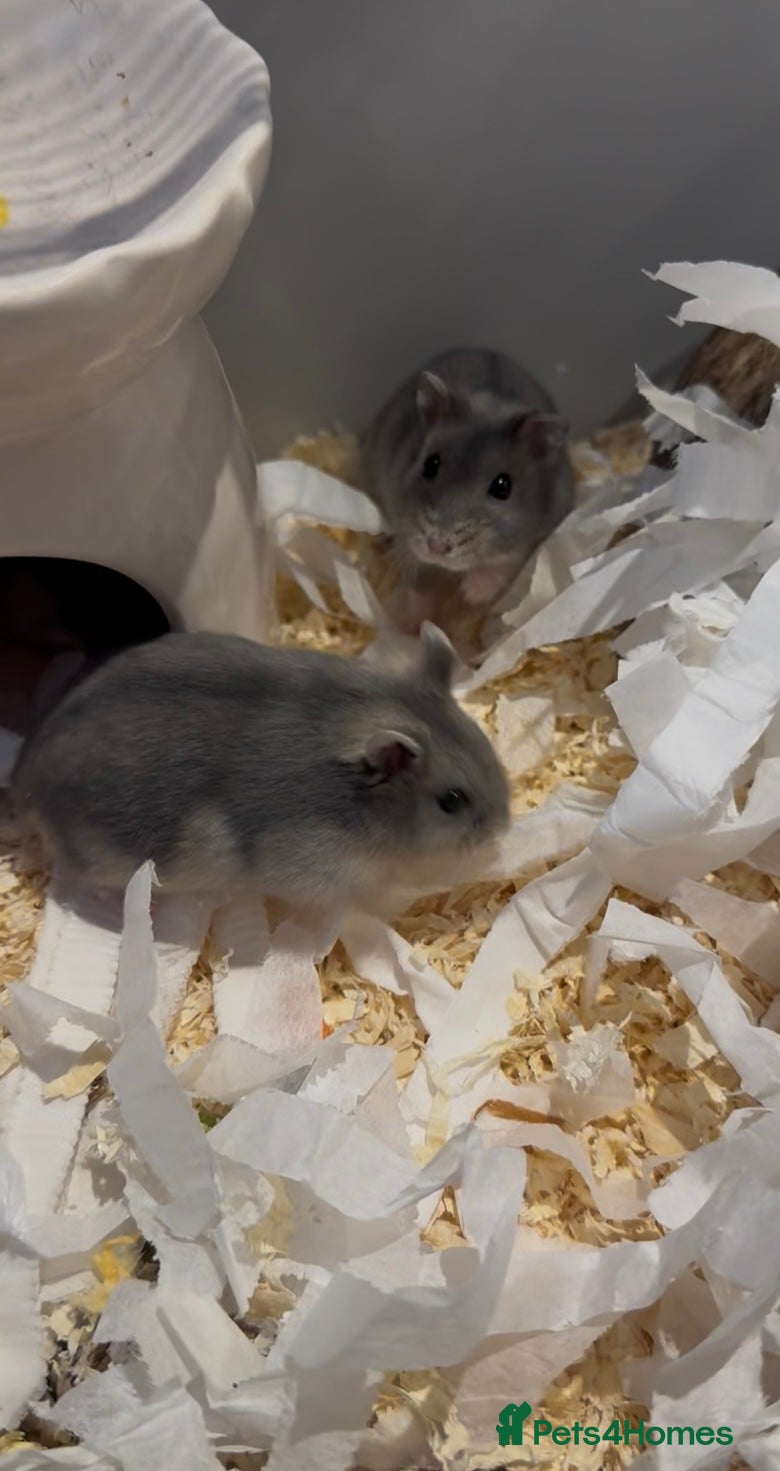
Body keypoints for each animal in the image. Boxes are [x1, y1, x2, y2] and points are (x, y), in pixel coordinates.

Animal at [361, 348, 573, 623]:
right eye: (430, 464)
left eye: (503, 486)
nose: (435, 548)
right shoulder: (404, 529)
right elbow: (417, 581)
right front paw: (415, 621)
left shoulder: (540, 533)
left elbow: (506, 564)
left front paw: (471, 595)